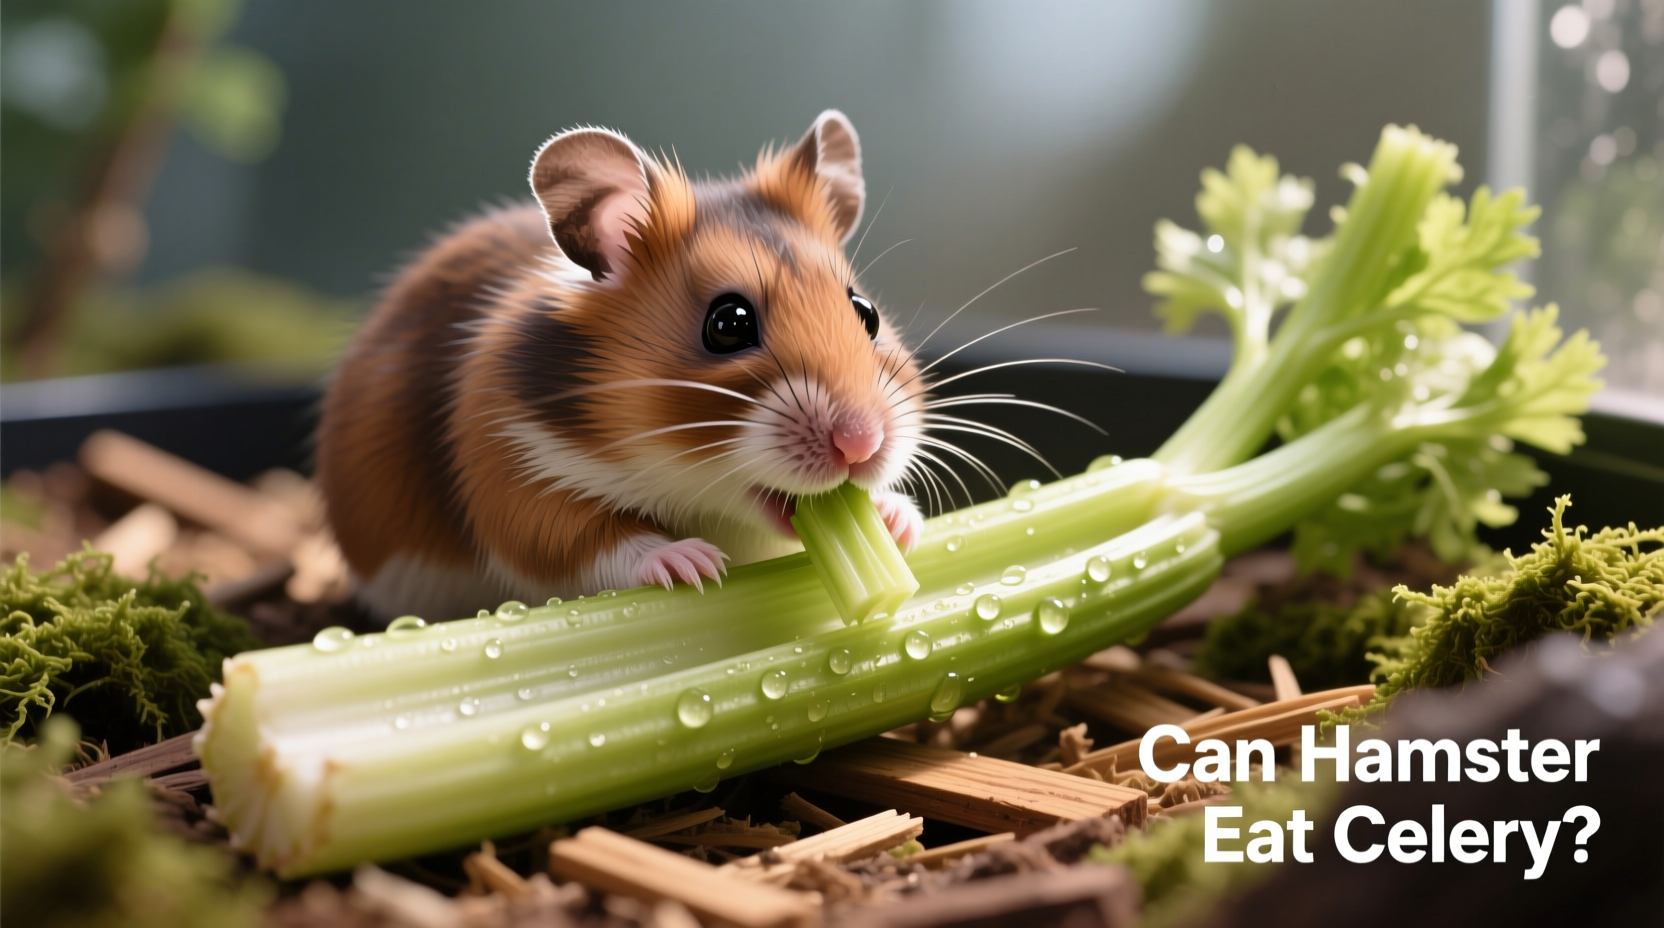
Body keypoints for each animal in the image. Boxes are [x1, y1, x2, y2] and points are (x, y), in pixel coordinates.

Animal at [316, 111, 927, 621]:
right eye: (728, 324)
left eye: (866, 312)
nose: (861, 445)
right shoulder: (509, 467)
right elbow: (582, 540)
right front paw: (694, 564)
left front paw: (900, 522)